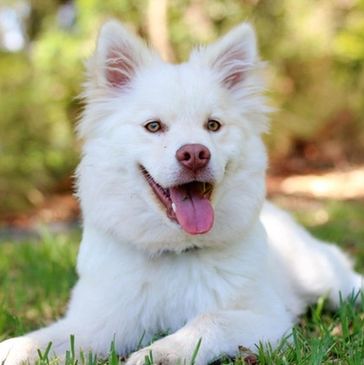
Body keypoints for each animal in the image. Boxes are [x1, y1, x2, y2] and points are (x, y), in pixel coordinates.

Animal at [0, 20, 362, 364]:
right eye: (153, 126)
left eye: (213, 125)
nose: (195, 154)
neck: (175, 251)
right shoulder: (98, 323)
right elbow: (42, 339)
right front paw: (12, 348)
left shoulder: (267, 319)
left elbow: (207, 321)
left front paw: (160, 353)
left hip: (324, 279)